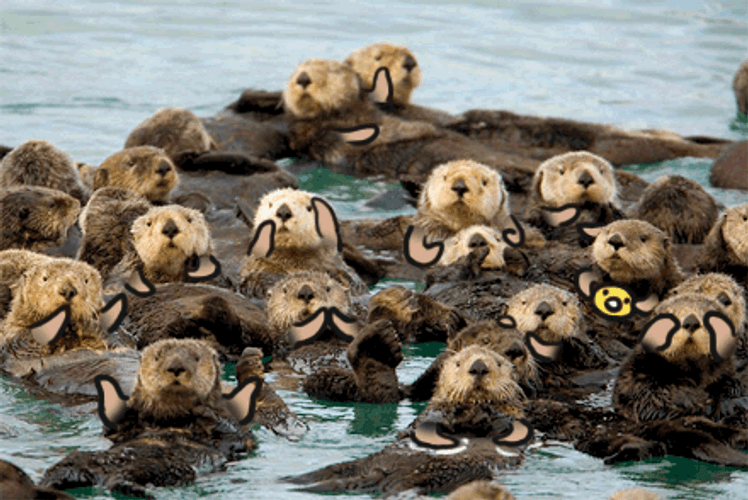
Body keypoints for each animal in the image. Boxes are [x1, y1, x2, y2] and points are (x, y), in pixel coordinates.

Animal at [40, 339, 261, 498]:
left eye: (197, 358)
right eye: (157, 357)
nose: (176, 367)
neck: (171, 419)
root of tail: (101, 475)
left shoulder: (237, 431)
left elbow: (234, 434)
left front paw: (202, 410)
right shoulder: (124, 431)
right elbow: (115, 430)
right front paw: (127, 406)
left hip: (163, 468)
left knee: (124, 479)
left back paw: (138, 490)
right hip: (77, 461)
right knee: (61, 470)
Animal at [287, 346, 531, 495]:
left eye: (498, 363)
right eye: (459, 363)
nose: (478, 366)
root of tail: (382, 470)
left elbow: (504, 426)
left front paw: (483, 412)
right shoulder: (428, 414)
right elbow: (424, 422)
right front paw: (454, 414)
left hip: (459, 471)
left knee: (401, 487)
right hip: (358, 464)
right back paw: (291, 479)